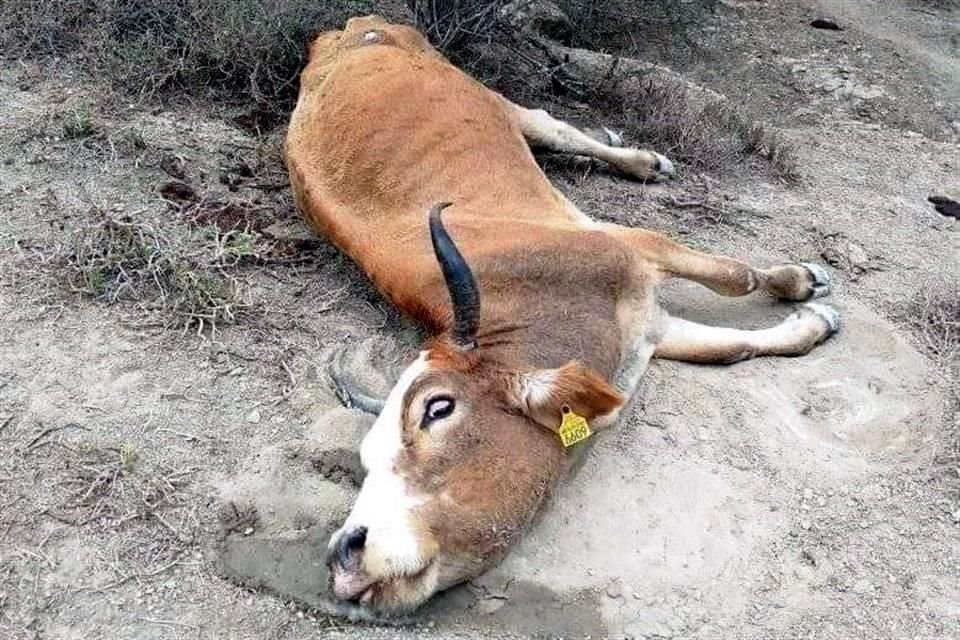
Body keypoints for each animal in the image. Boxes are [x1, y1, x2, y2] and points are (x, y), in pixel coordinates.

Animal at [284, 15, 840, 624]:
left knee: (546, 123)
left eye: (438, 408)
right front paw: (811, 324)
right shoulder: (648, 329)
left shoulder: (635, 247)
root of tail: (348, 27)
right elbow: (729, 347)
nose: (345, 553)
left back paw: (643, 158)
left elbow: (736, 277)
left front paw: (802, 281)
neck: (532, 298)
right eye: (365, 456)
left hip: (479, 87)